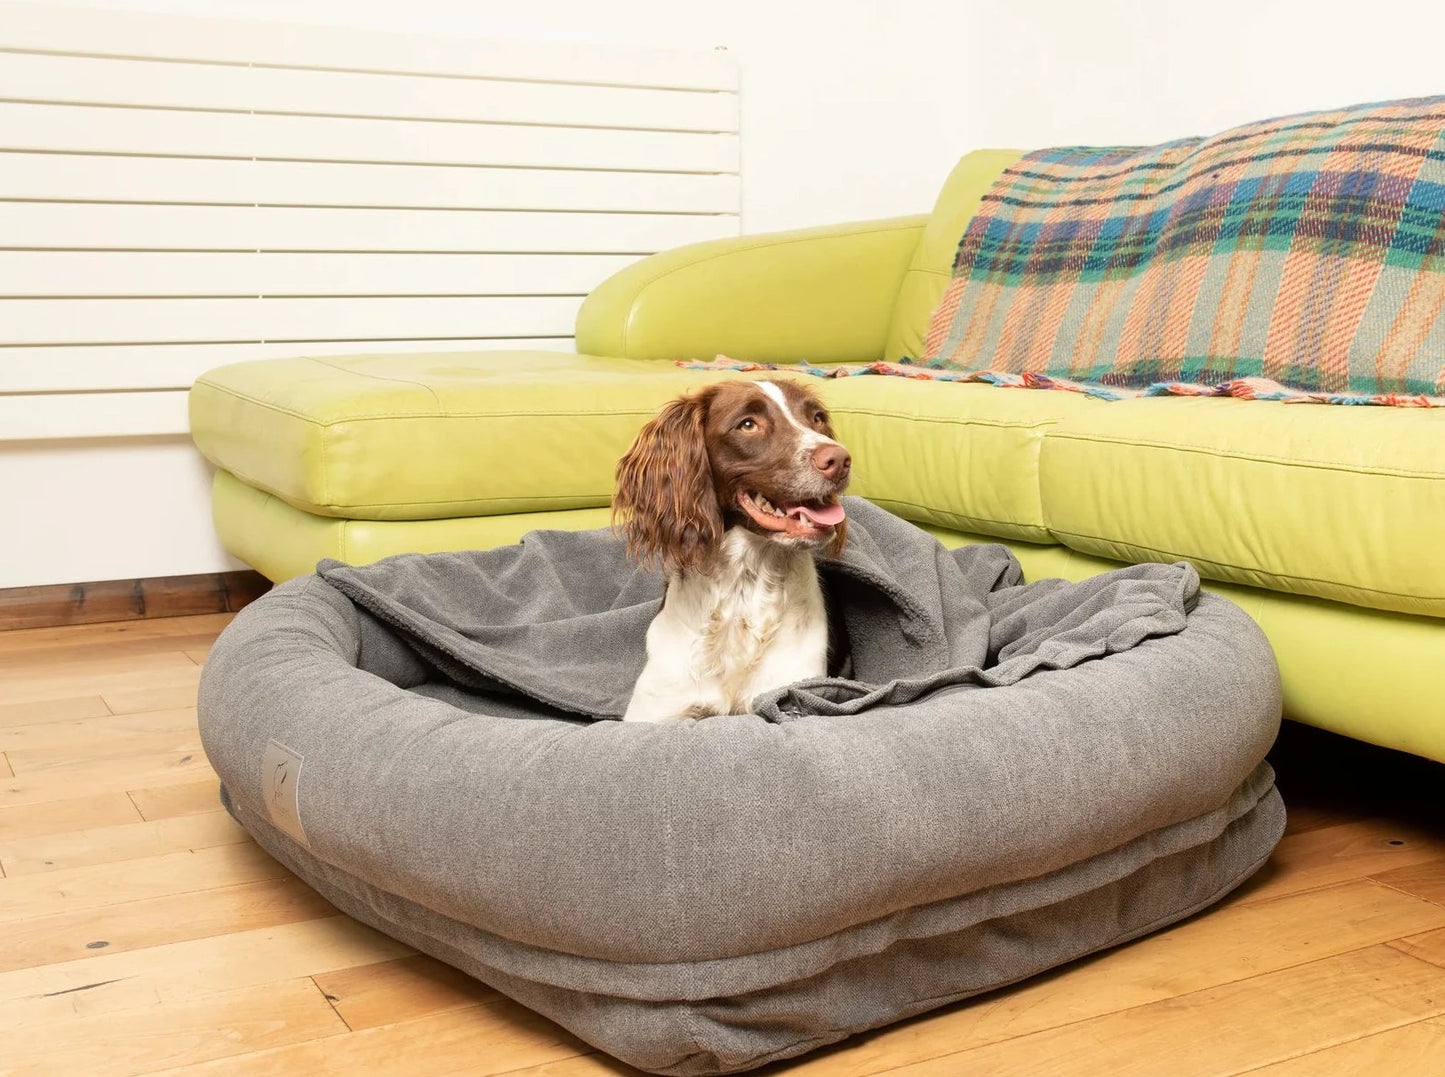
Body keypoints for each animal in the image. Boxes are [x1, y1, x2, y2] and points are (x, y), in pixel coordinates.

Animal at [606, 378, 843, 722]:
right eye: (748, 424)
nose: (840, 460)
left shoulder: (793, 692)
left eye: (817, 418)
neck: (744, 585)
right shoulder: (656, 709)